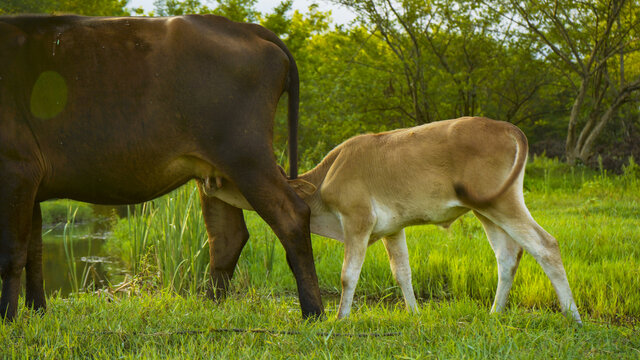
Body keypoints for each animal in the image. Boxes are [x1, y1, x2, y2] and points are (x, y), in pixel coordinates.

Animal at [0, 14, 322, 320]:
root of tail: (242, 27)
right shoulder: (32, 183)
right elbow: (34, 251)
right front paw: (37, 311)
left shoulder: (16, 168)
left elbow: (12, 253)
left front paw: (8, 318)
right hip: (218, 171)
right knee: (227, 237)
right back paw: (210, 308)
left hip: (246, 156)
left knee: (291, 216)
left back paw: (313, 312)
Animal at [212, 117, 584, 324]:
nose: (208, 180)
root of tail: (506, 127)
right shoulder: (393, 230)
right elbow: (402, 272)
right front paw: (415, 314)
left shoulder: (357, 220)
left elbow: (348, 275)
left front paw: (341, 318)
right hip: (486, 210)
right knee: (507, 256)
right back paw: (494, 313)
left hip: (503, 204)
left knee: (546, 246)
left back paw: (574, 316)